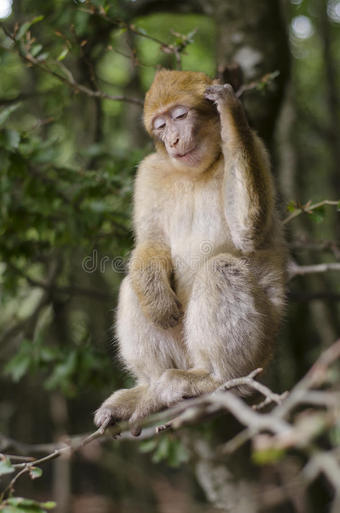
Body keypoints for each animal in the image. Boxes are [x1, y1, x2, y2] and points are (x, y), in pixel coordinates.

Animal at [93, 69, 286, 432]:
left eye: (180, 116)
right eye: (160, 125)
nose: (172, 140)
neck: (196, 171)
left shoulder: (258, 147)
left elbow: (247, 231)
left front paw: (230, 113)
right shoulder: (149, 172)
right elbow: (151, 241)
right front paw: (155, 294)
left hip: (261, 348)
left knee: (221, 267)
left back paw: (218, 379)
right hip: (180, 351)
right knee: (132, 286)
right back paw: (149, 391)